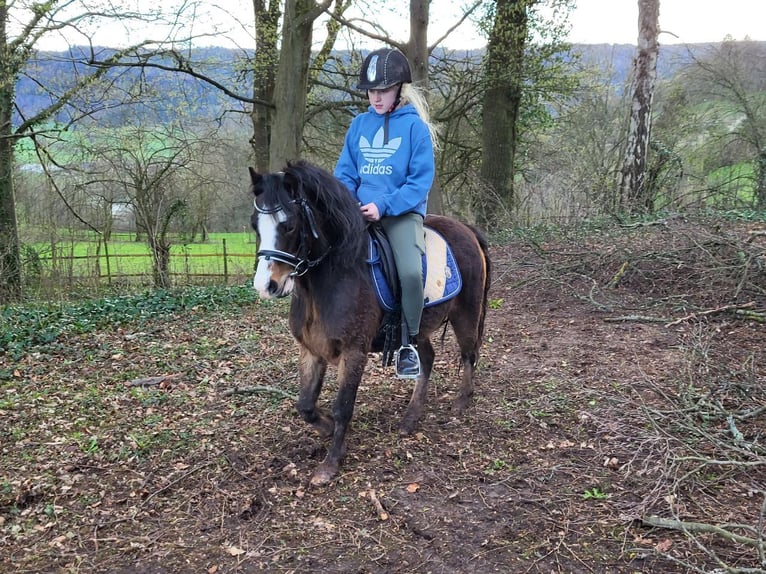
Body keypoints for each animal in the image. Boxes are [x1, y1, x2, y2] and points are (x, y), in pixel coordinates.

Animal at [252, 161, 492, 486]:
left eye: (288, 225)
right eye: (255, 225)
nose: (267, 286)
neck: (334, 276)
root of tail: (466, 229)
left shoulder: (354, 352)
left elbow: (343, 407)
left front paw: (330, 464)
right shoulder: (311, 351)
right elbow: (305, 405)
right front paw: (326, 428)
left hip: (465, 313)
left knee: (468, 354)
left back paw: (461, 402)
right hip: (417, 328)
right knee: (428, 359)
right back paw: (410, 418)